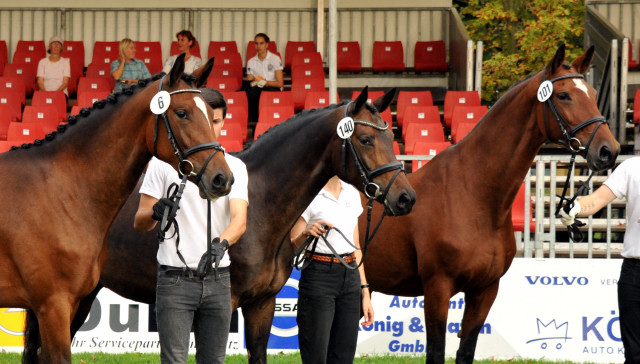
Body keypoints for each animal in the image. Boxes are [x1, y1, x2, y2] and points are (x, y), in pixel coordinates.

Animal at [3, 54, 235, 364]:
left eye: (212, 115)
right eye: (182, 113)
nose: (222, 179)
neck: (60, 188)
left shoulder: (62, 305)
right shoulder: (53, 305)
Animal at [25, 86, 418, 362]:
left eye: (391, 136)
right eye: (365, 139)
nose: (406, 198)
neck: (262, 204)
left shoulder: (262, 305)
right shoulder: (223, 303)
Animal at [360, 44, 620, 362]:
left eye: (593, 94)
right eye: (563, 95)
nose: (608, 150)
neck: (472, 195)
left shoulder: (485, 291)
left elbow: (466, 351)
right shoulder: (437, 289)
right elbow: (436, 351)